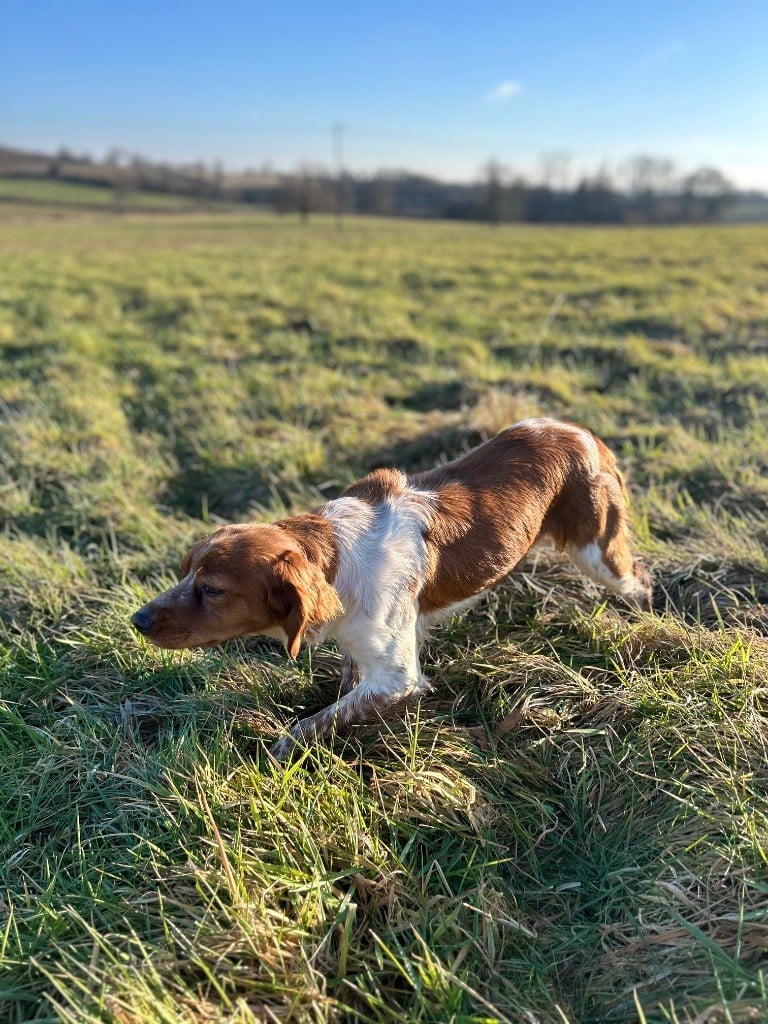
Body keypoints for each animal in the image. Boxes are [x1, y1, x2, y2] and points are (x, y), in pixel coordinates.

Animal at [134, 417, 655, 761]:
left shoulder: (399, 678)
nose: (137, 620)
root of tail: (583, 431)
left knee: (641, 582)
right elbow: (344, 687)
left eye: (213, 590)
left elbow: (318, 720)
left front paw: (279, 747)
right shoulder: (362, 648)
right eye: (184, 572)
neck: (338, 559)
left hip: (599, 553)